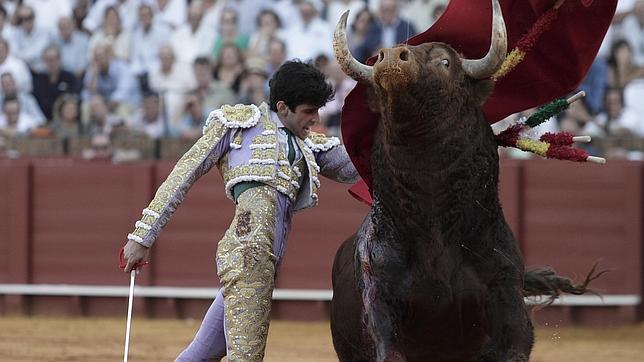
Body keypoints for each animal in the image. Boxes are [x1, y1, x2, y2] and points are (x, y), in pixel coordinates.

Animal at [332, 1, 600, 360]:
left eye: (445, 62)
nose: (388, 58)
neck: (435, 229)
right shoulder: (379, 290)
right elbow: (387, 345)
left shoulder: (506, 292)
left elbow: (515, 343)